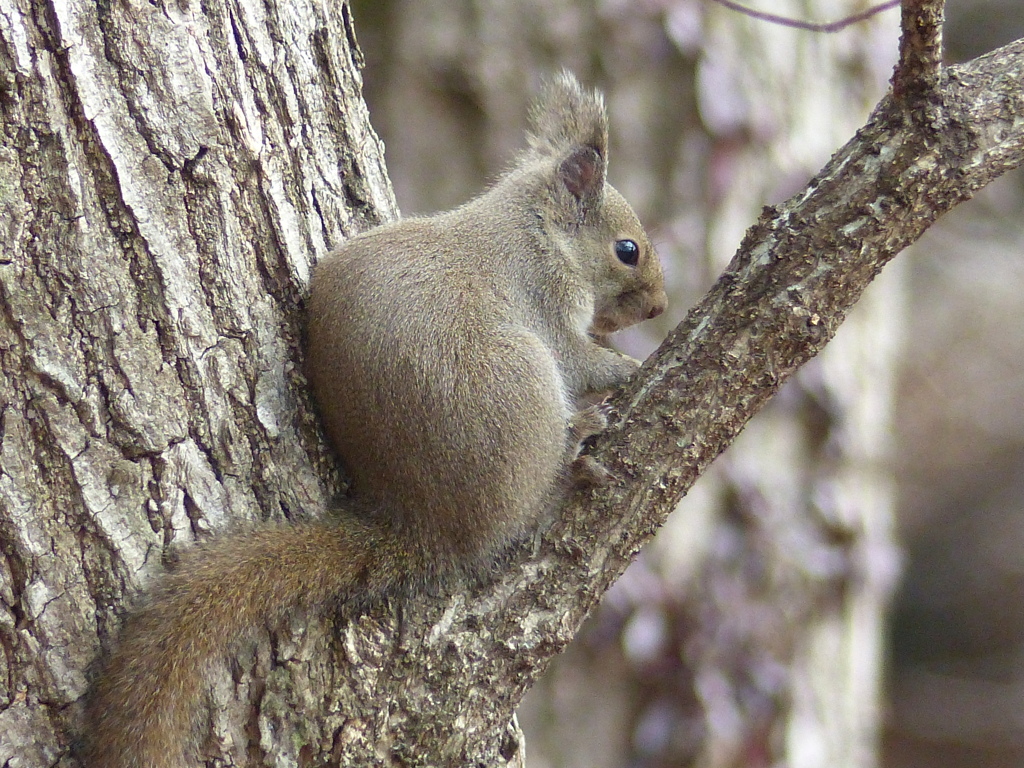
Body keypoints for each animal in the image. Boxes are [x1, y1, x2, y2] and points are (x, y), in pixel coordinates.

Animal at [83, 72, 667, 768]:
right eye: (627, 250)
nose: (661, 306)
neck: (536, 226)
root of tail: (420, 522)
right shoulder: (547, 303)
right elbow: (582, 361)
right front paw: (631, 366)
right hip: (523, 385)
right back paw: (572, 453)